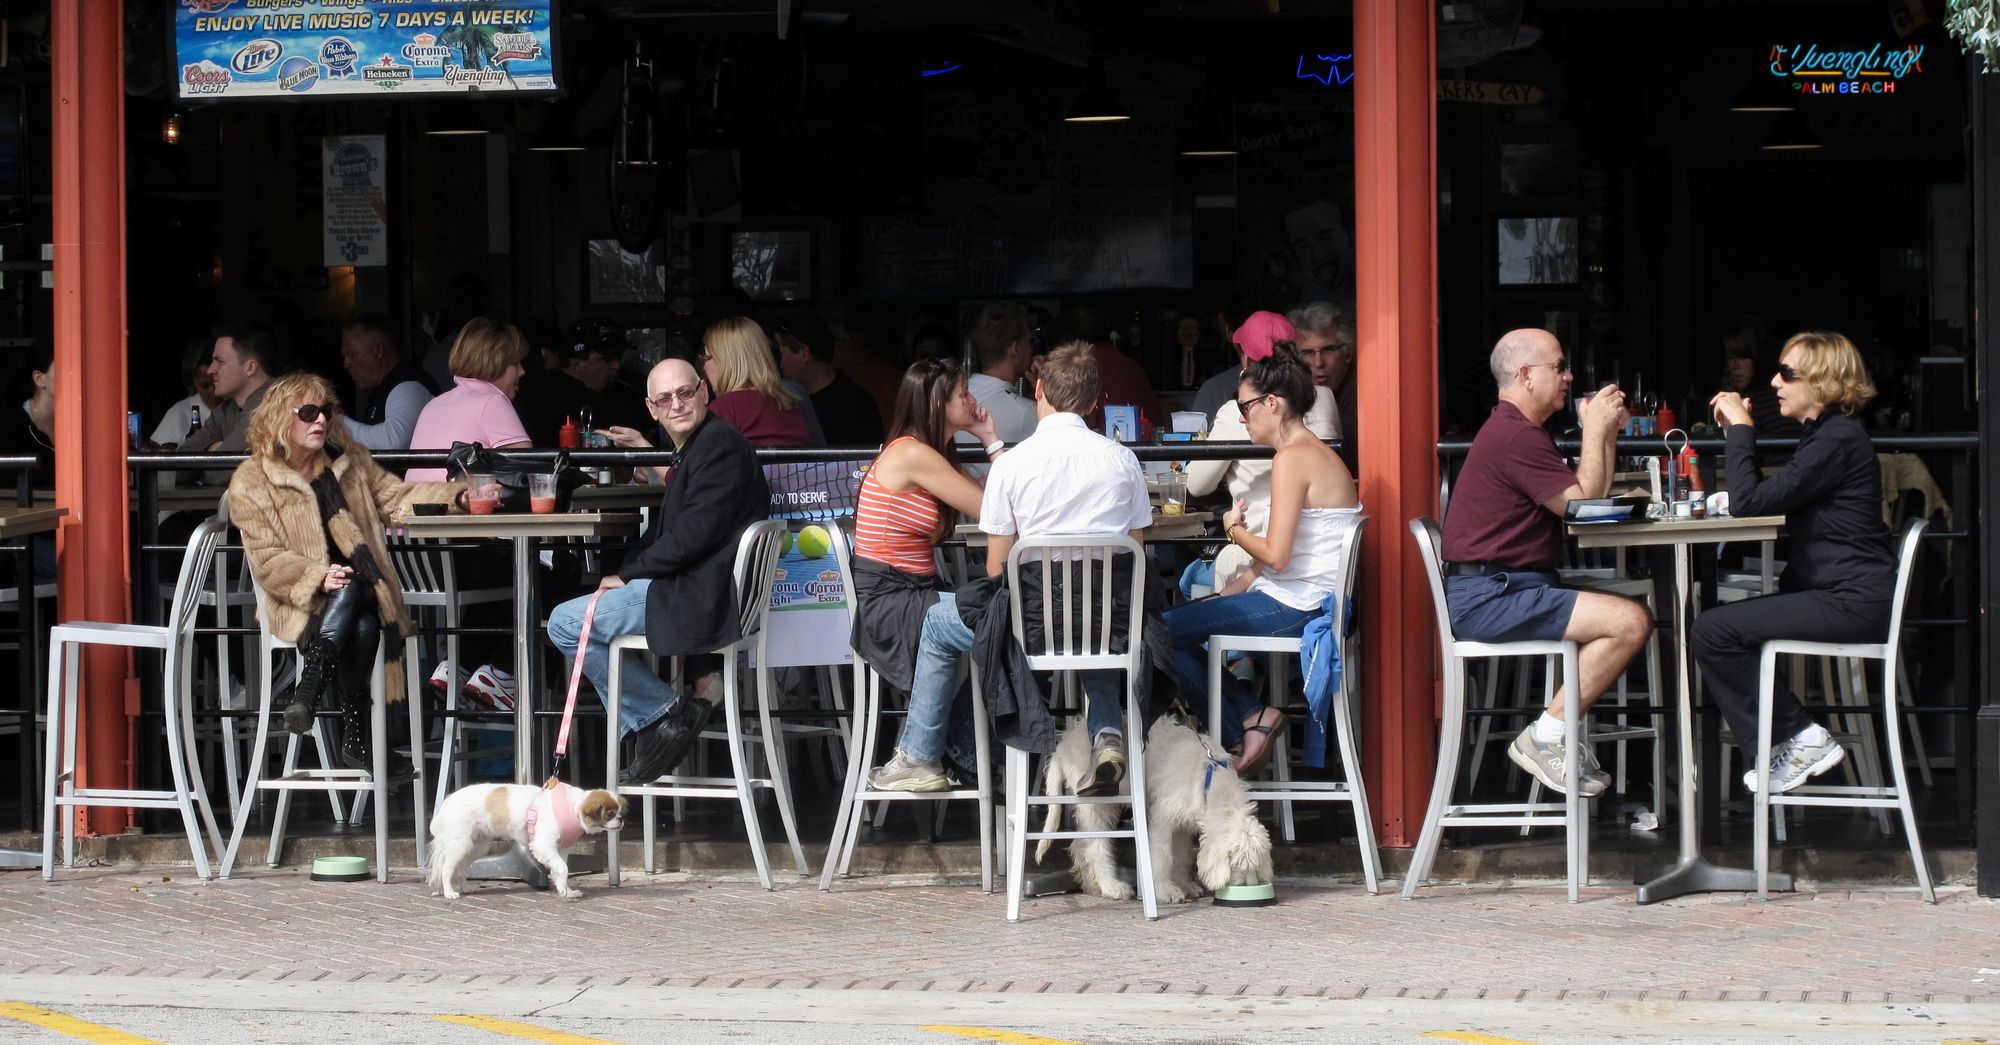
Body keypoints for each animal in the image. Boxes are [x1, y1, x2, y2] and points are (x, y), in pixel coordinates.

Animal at [428, 782, 626, 900]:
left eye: (619, 812)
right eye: (610, 814)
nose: (621, 820)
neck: (573, 807)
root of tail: (447, 802)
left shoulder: (561, 849)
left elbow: (560, 870)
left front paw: (566, 891)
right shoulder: (543, 846)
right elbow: (563, 868)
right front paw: (564, 891)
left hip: (477, 846)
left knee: (459, 869)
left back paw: (465, 887)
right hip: (460, 844)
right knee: (447, 869)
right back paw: (449, 892)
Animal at [1036, 716, 1274, 905]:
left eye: (1255, 865)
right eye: (1238, 864)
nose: (1247, 887)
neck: (1208, 775)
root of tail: (1063, 744)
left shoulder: (1184, 825)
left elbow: (1182, 856)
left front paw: (1184, 884)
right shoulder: (1163, 818)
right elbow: (1162, 857)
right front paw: (1166, 891)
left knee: (1079, 845)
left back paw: (1092, 885)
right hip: (1099, 803)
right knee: (1095, 848)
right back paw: (1112, 887)